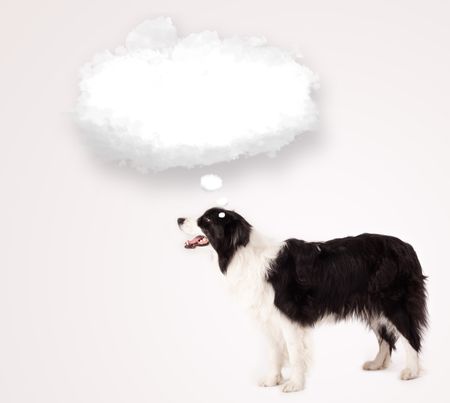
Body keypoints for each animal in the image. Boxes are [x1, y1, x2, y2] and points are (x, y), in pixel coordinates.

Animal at [178, 208, 428, 392]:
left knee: (410, 336)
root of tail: (407, 247)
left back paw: (412, 372)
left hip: (394, 303)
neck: (240, 251)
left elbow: (295, 352)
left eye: (205, 220)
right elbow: (274, 352)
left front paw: (294, 385)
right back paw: (377, 364)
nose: (179, 219)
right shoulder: (268, 318)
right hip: (374, 305)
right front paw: (272, 380)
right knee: (385, 337)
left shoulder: (290, 315)